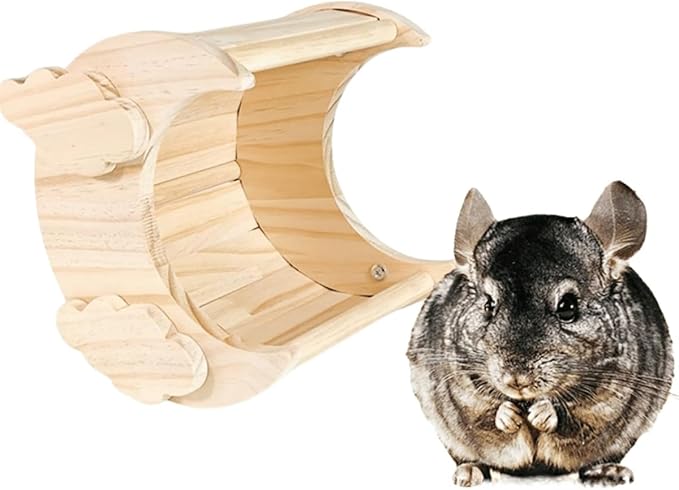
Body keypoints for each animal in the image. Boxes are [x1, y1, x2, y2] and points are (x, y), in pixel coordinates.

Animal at [407, 182, 673, 486]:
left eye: (568, 306)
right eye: (488, 304)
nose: (516, 380)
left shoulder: (608, 398)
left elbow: (577, 416)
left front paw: (544, 412)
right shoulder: (460, 384)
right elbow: (483, 412)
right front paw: (507, 414)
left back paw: (608, 472)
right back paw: (468, 473)